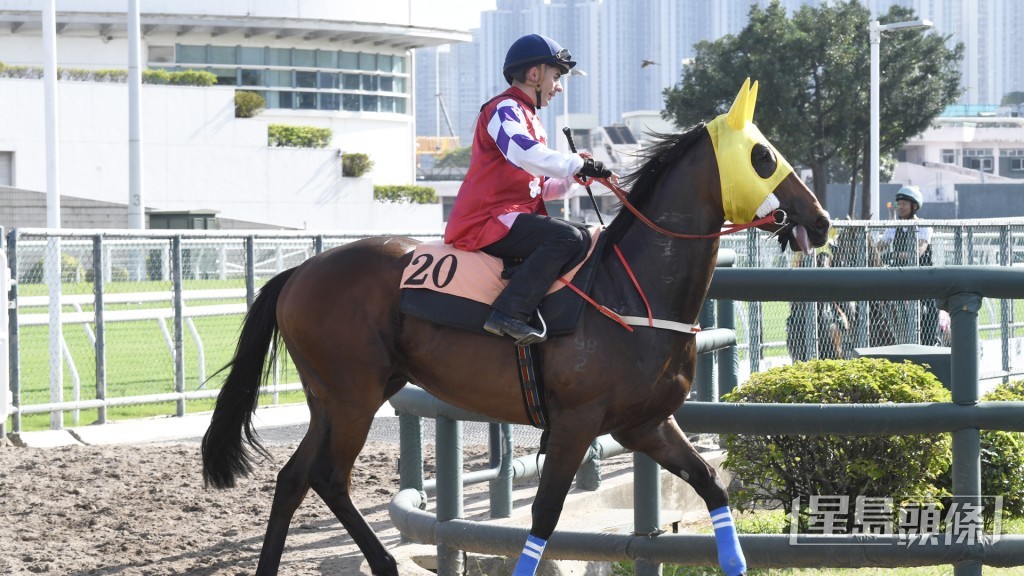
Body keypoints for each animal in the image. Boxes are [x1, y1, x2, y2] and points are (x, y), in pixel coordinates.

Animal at [201, 78, 831, 576]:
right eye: (763, 157)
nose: (821, 220)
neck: (631, 290)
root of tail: (301, 270)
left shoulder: (645, 424)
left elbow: (709, 482)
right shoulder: (577, 423)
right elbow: (546, 515)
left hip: (335, 396)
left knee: (294, 477)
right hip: (353, 394)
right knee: (329, 477)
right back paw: (383, 563)